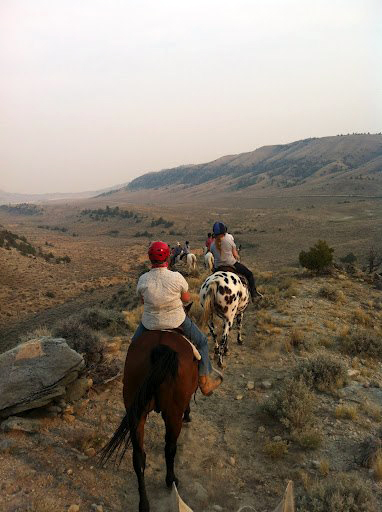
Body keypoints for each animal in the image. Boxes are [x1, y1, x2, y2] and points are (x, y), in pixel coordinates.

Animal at [100, 326, 198, 510]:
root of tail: (160, 349)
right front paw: (188, 415)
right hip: (172, 414)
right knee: (170, 448)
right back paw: (171, 480)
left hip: (136, 413)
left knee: (138, 458)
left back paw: (144, 504)